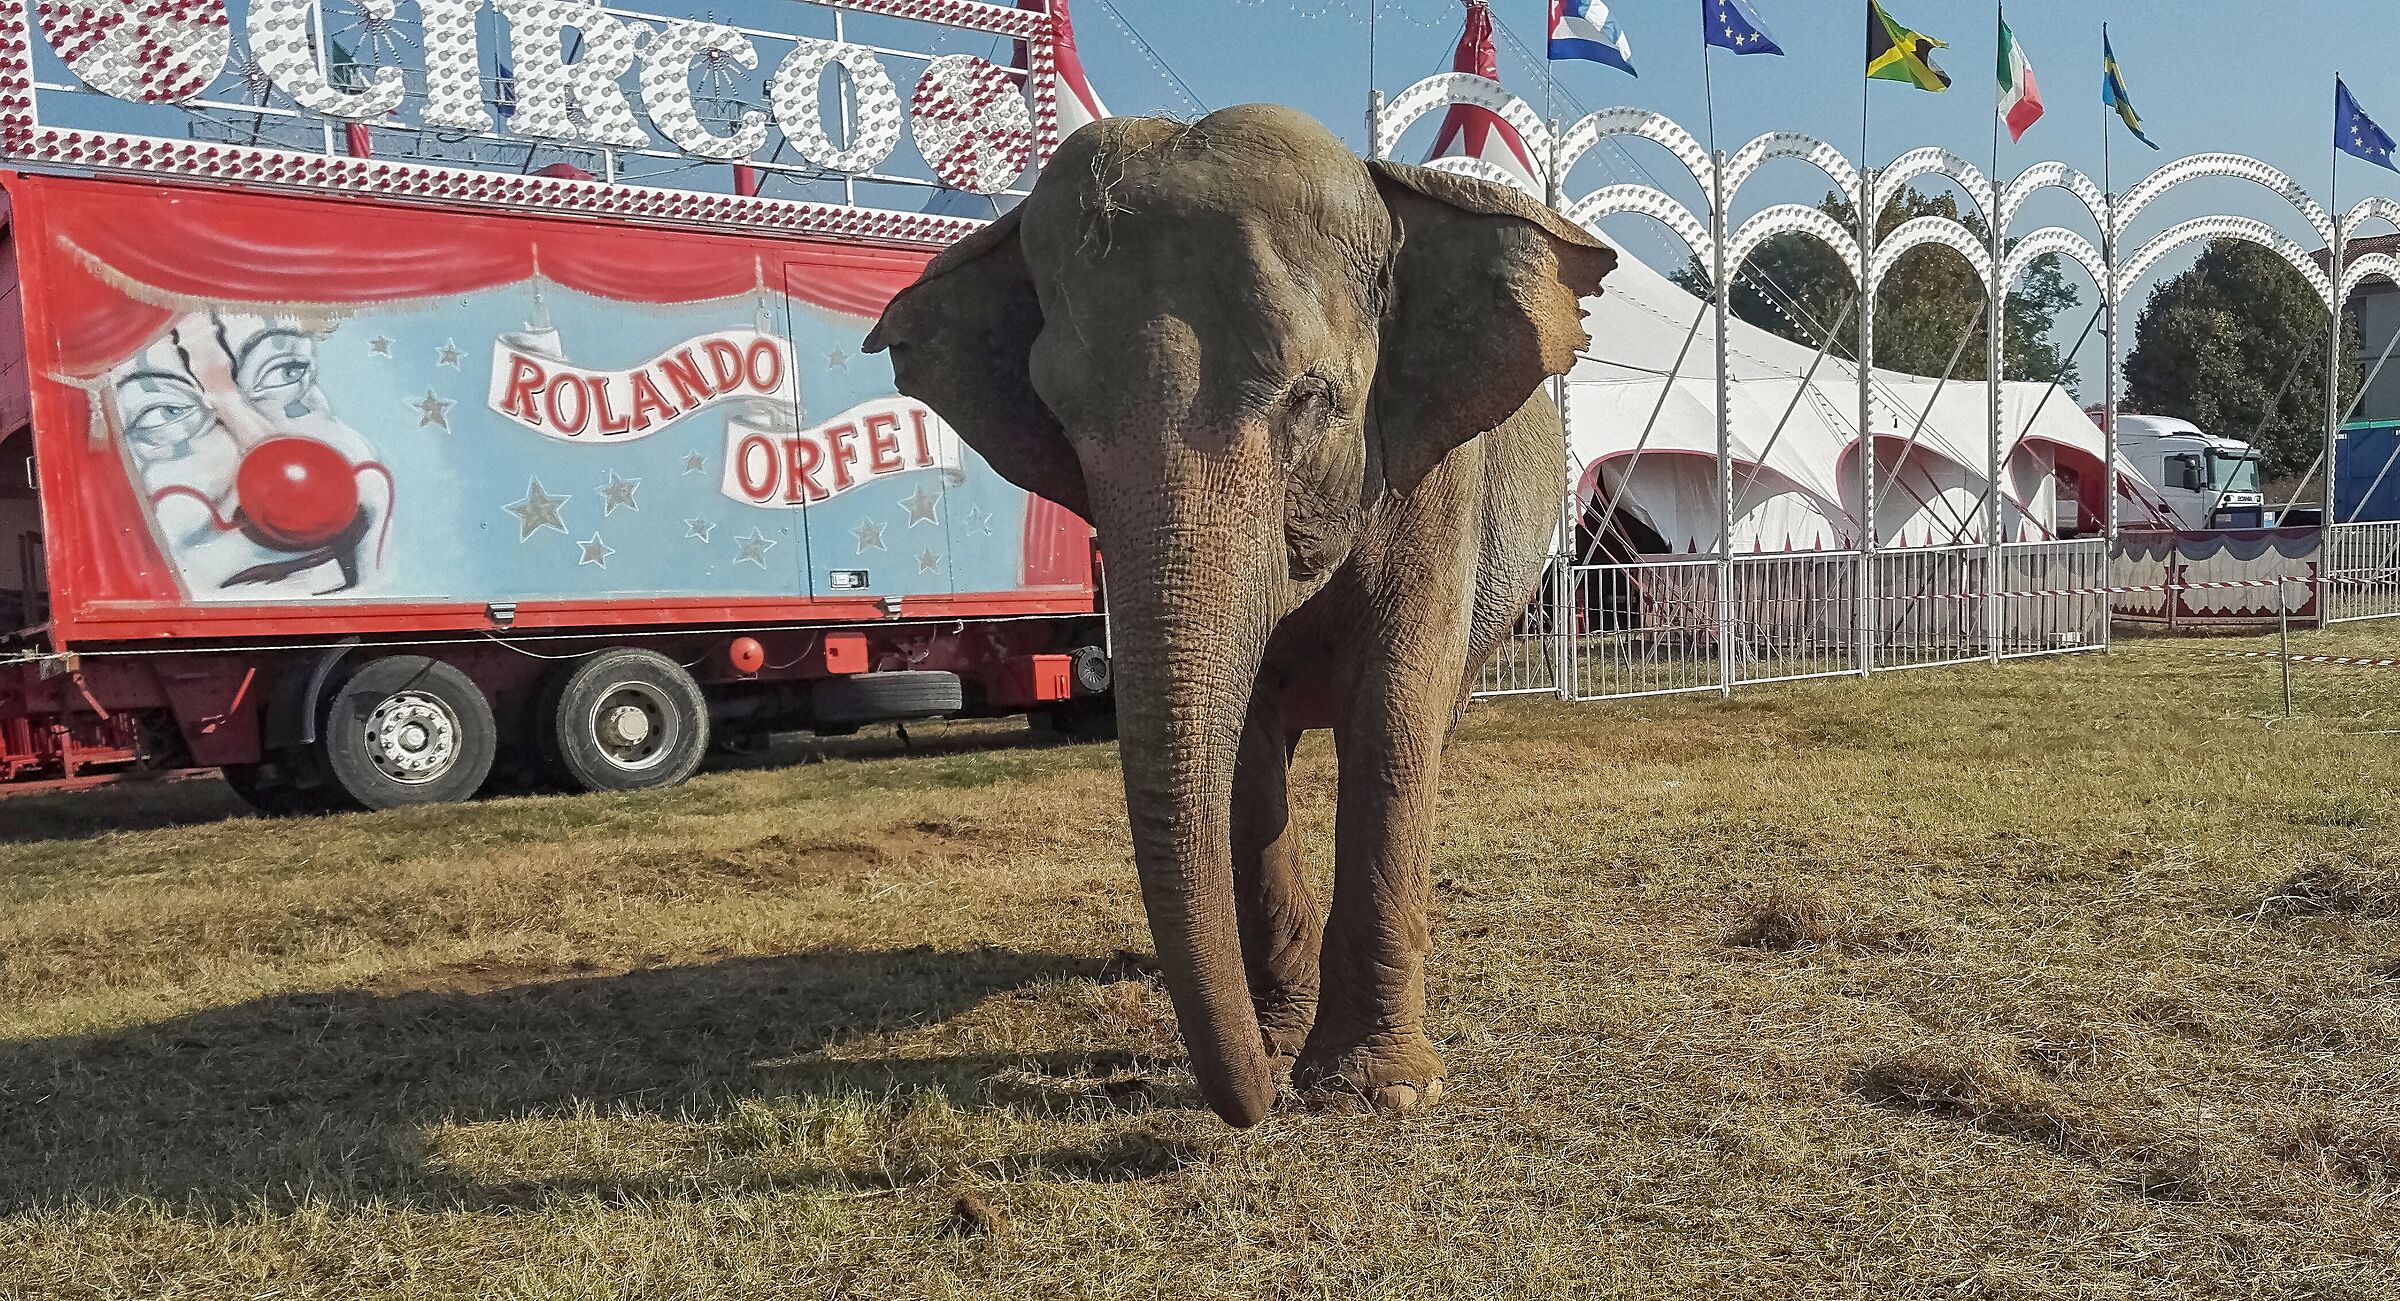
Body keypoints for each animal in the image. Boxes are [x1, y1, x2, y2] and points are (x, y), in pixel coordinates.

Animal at [865, 104, 1616, 1127]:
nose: (1257, 1090)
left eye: (1314, 397)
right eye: (1061, 418)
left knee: (1434, 721)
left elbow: (1394, 715)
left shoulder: (1435, 484)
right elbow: (1246, 745)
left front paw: (1379, 1088)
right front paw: (1282, 1036)